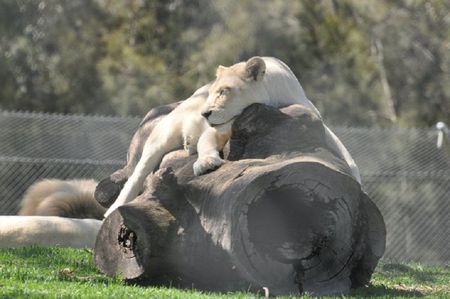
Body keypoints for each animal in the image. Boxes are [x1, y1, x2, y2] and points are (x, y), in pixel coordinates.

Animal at [104, 56, 358, 217]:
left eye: (223, 91)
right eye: (212, 92)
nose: (204, 113)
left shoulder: (313, 116)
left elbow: (347, 155)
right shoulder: (220, 127)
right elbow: (207, 141)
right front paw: (206, 163)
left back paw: (190, 143)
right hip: (161, 135)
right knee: (138, 173)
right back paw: (113, 210)